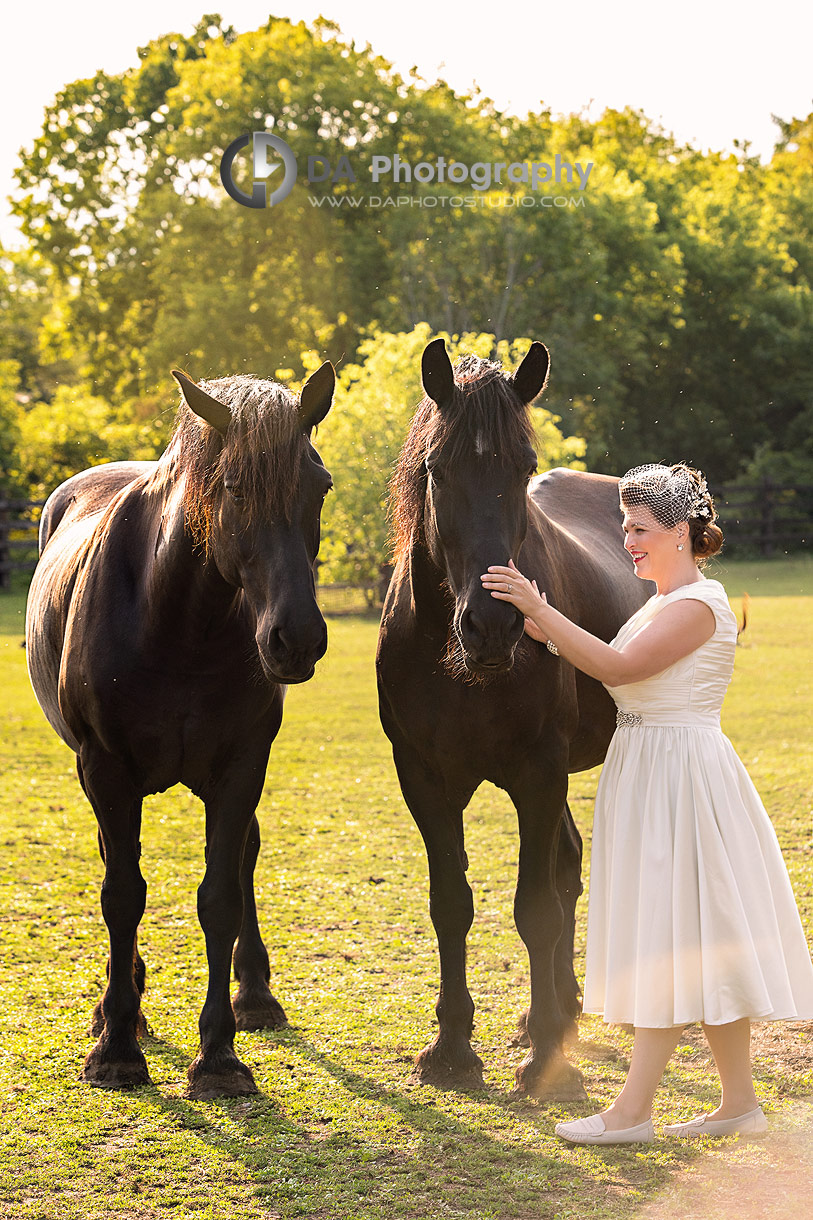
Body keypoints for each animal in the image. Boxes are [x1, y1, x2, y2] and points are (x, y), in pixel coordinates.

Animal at [25, 358, 334, 1098]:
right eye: (231, 488)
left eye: (320, 485)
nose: (297, 639)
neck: (177, 622)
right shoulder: (105, 770)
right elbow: (121, 895)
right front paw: (116, 1047)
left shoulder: (241, 769)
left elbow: (220, 895)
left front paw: (218, 1056)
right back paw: (123, 1005)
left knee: (245, 858)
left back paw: (255, 995)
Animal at [373, 339, 644, 1102]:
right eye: (437, 470)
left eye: (522, 468)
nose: (493, 626)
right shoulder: (423, 780)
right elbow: (450, 903)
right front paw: (450, 1047)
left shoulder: (538, 772)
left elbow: (536, 908)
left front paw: (548, 1059)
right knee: (568, 862)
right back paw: (554, 1009)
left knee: (562, 877)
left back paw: (557, 1018)